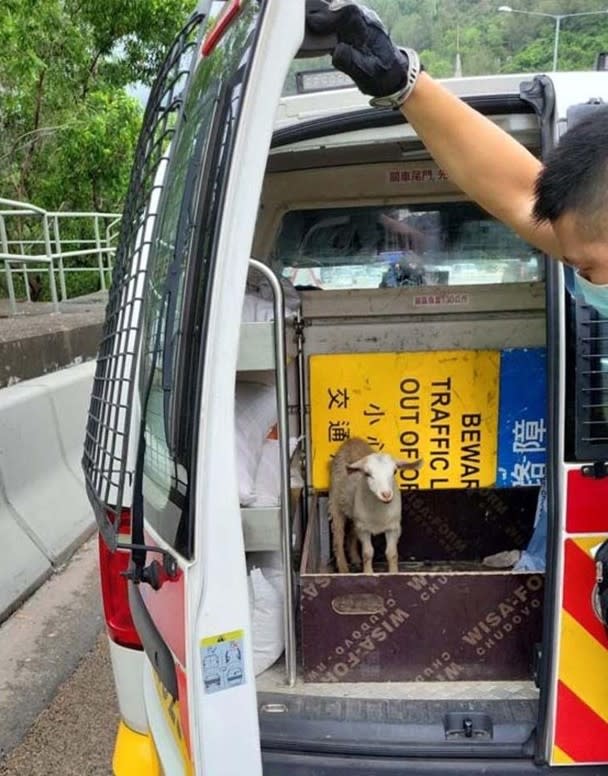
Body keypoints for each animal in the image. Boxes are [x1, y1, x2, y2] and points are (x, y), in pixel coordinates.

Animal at [328, 440, 422, 572]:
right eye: (367, 474)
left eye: (394, 472)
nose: (386, 494)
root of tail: (352, 441)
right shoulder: (363, 529)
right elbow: (368, 553)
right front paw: (368, 573)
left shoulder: (393, 527)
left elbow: (392, 554)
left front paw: (394, 572)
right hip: (335, 502)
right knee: (338, 536)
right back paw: (343, 568)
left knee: (351, 533)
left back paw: (355, 560)